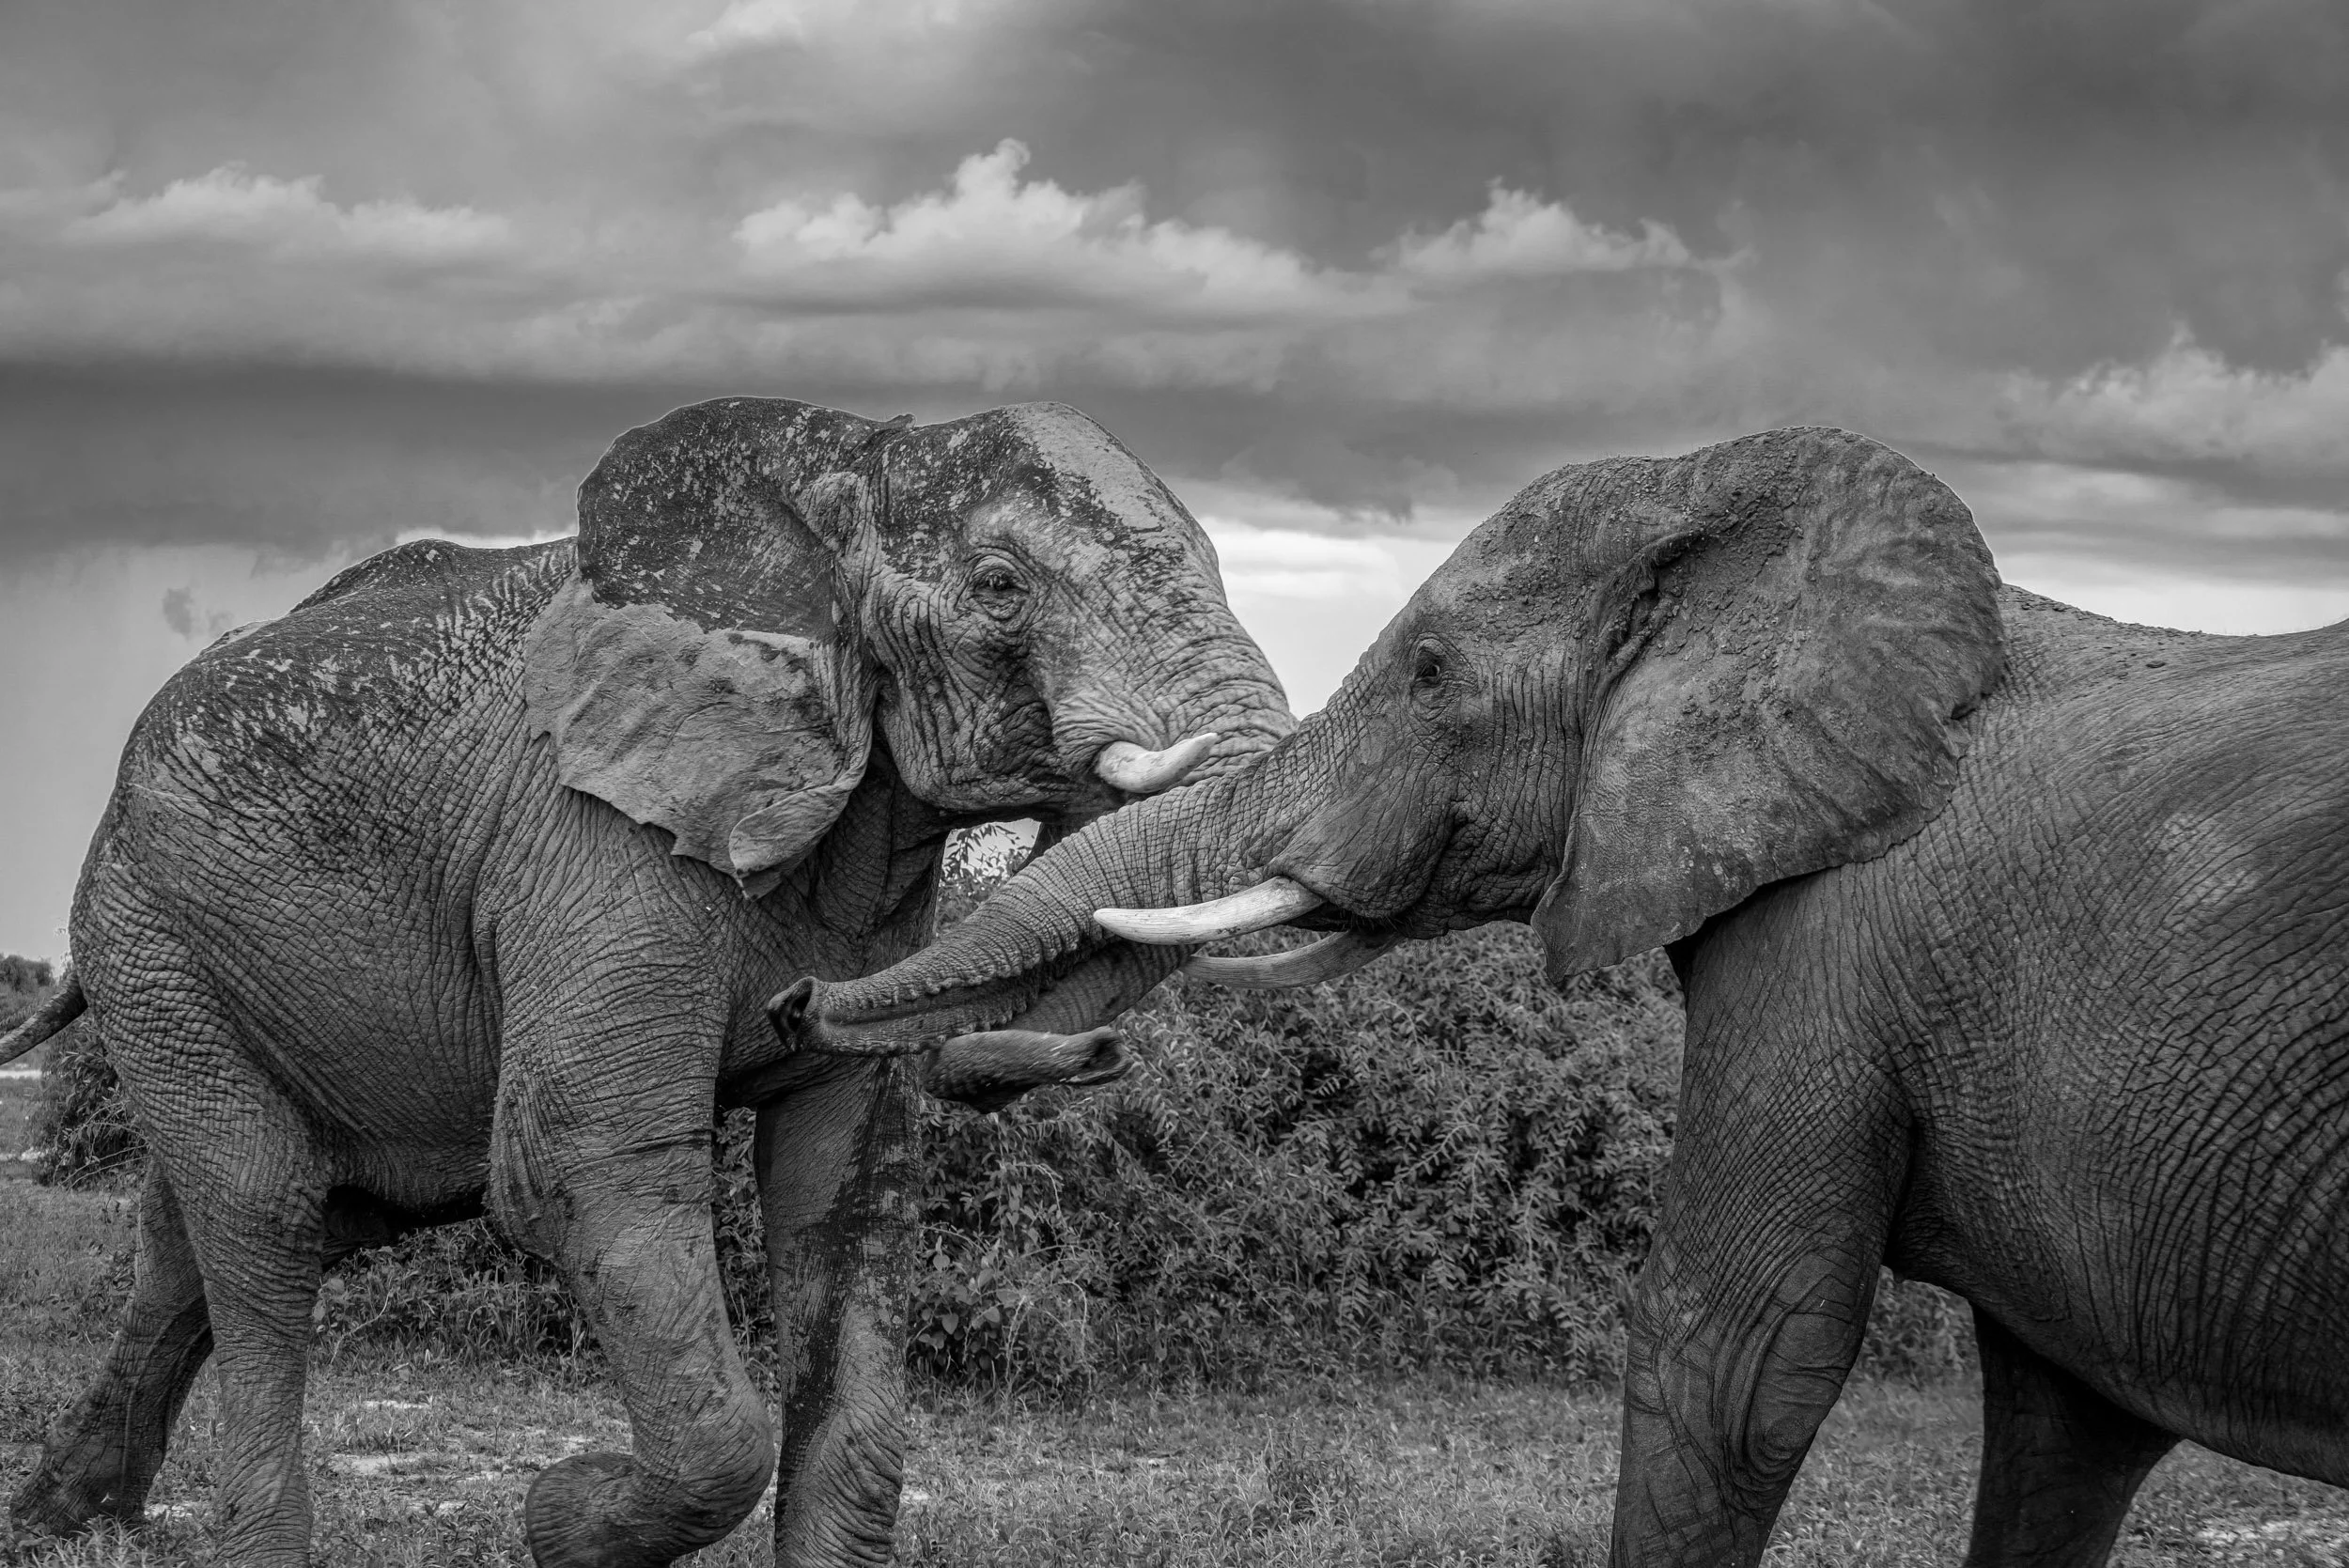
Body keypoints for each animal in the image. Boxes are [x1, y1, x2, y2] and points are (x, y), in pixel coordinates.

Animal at [0, 394, 1291, 1566]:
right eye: (999, 586)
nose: (793, 1002)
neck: (841, 465)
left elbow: (847, 1187)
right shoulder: (592, 843)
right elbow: (584, 1160)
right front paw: (558, 1518)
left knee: (218, 1232)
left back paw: (62, 1518)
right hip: (146, 934)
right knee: (264, 1215)